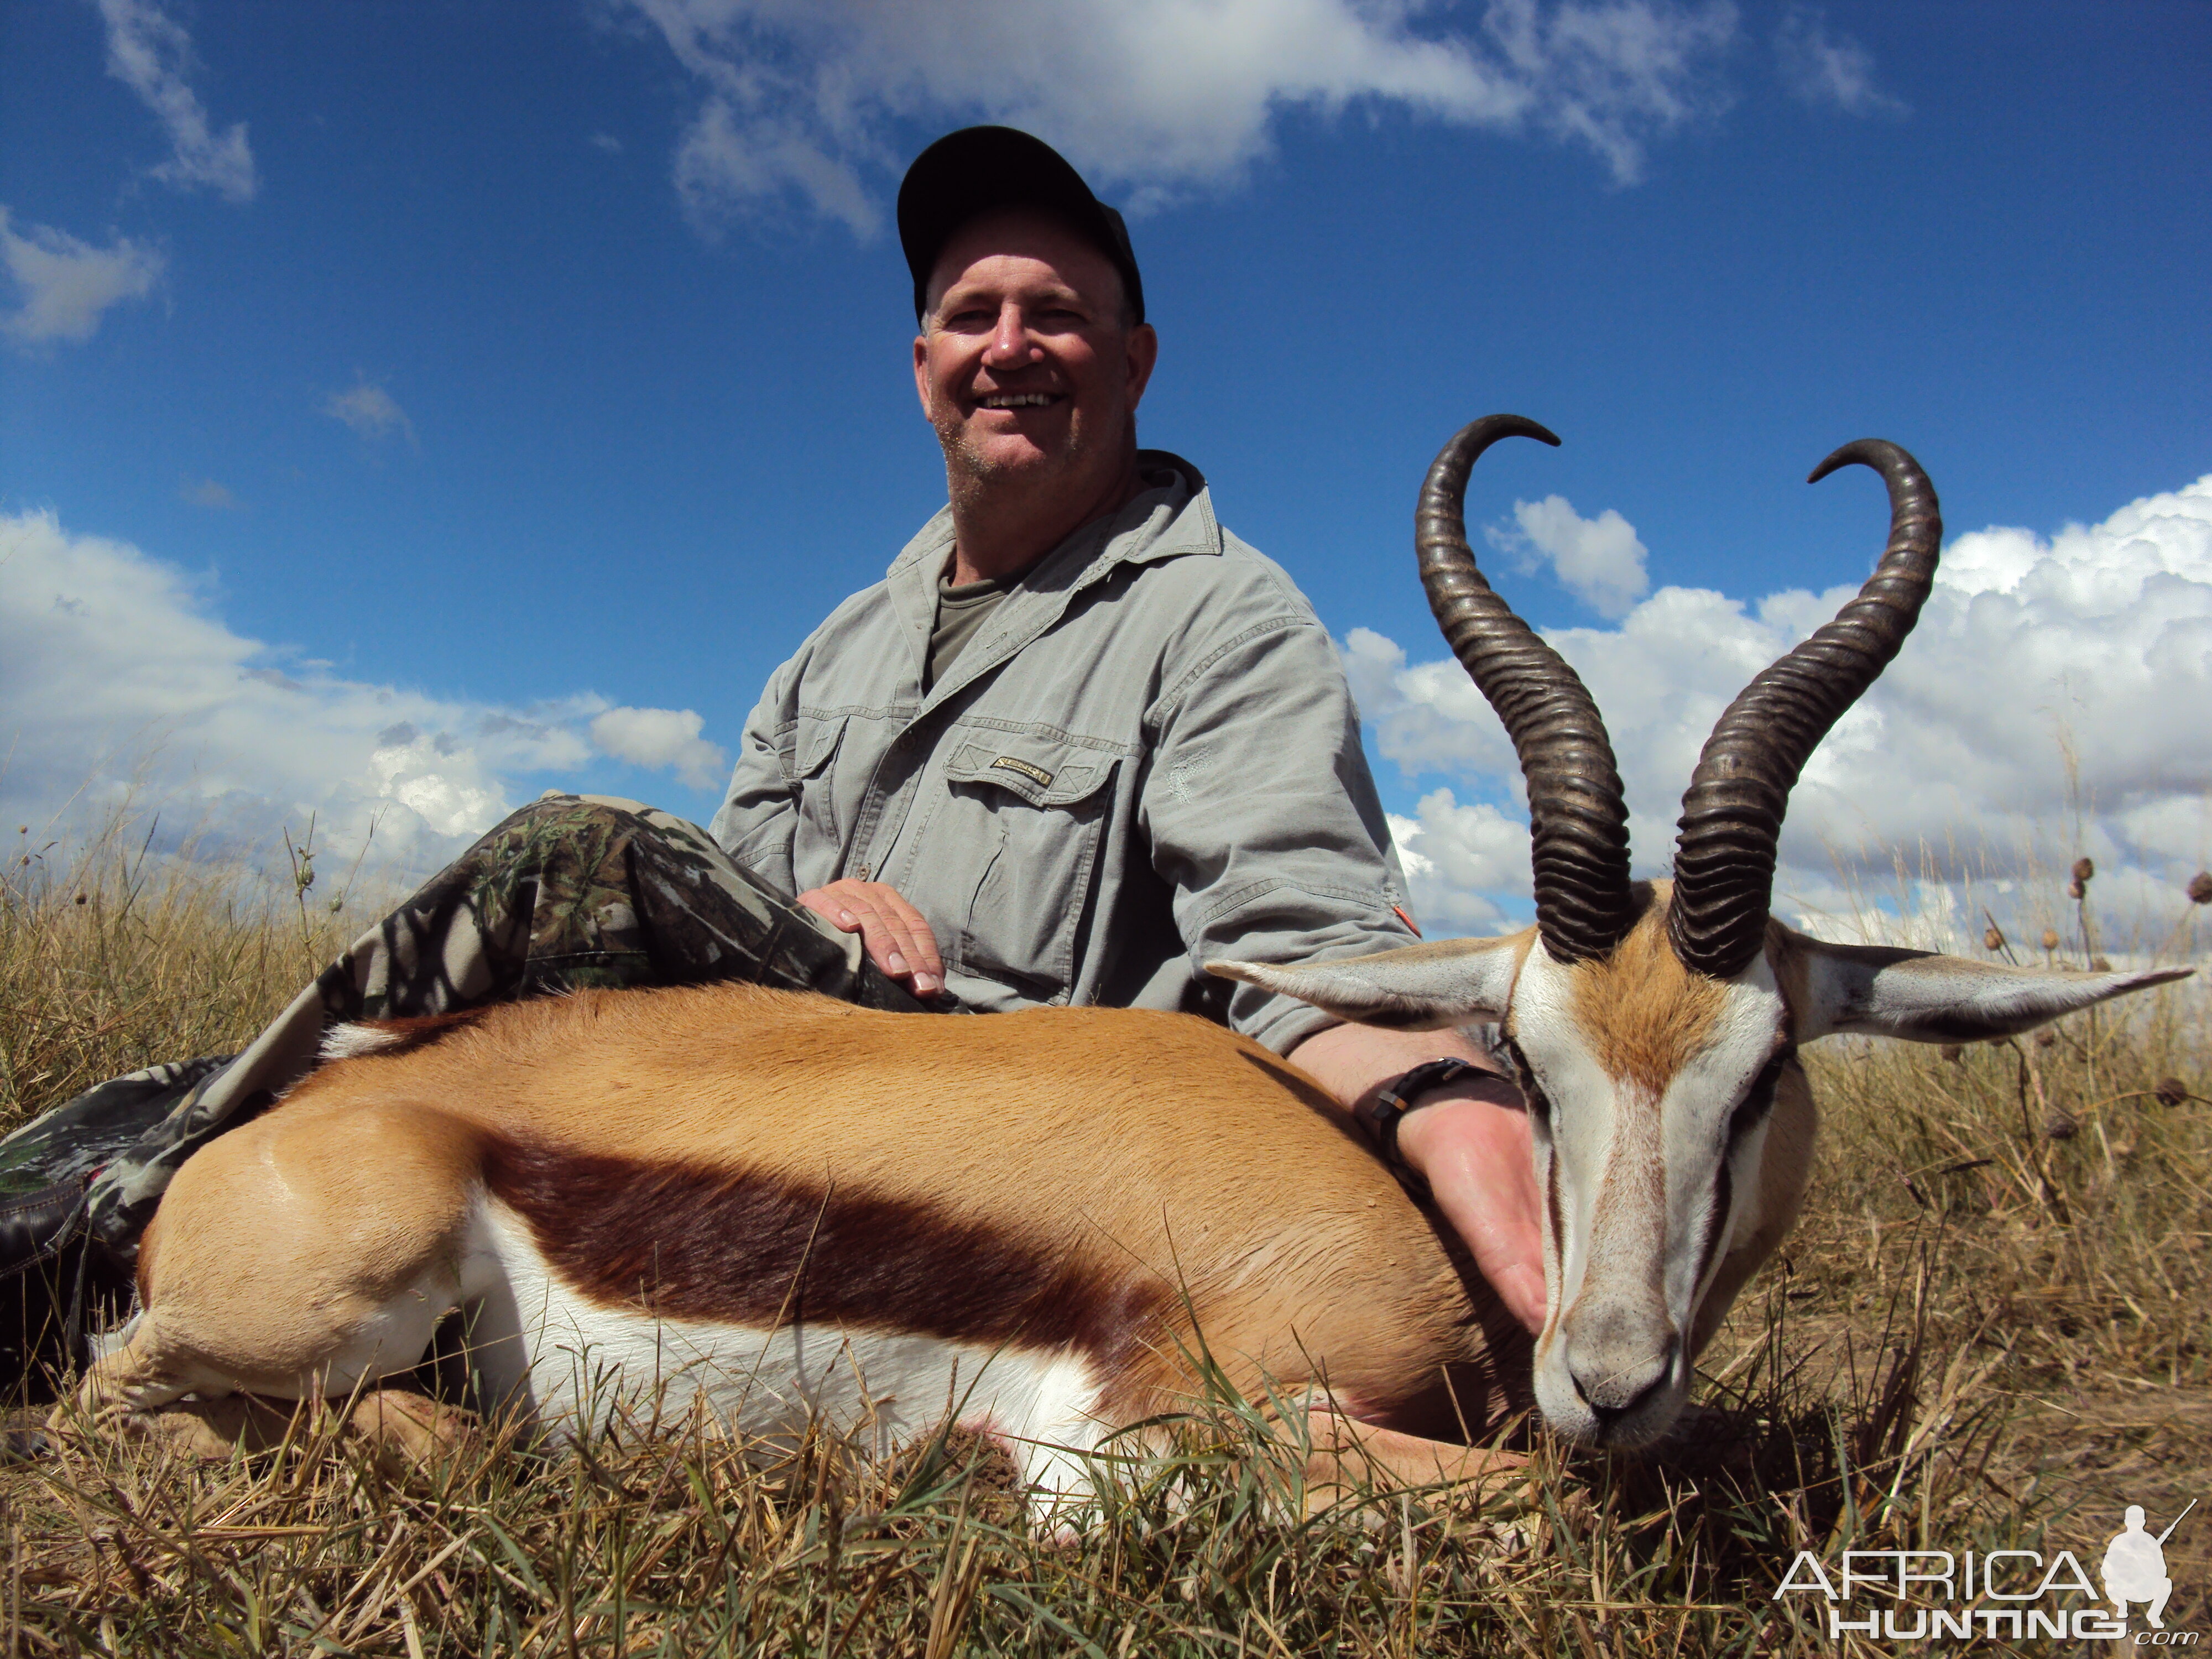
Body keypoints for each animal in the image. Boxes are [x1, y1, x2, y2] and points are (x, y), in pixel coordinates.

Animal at [78, 414, 2185, 1504]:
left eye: (1761, 1078)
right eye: (1532, 1058)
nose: (1610, 1376)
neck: (1414, 1211)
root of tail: (303, 1118)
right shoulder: (1157, 1436)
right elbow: (1530, 1509)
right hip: (322, 1303)